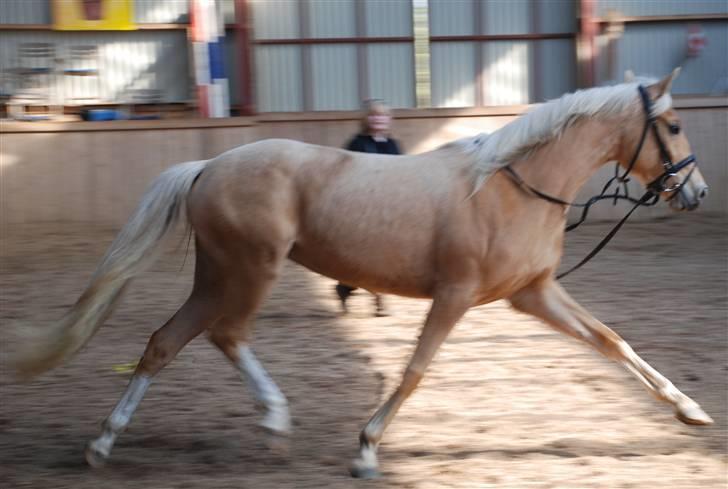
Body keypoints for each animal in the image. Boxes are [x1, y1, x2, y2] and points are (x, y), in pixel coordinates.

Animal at [15, 69, 712, 476]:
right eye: (675, 125)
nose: (697, 192)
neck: (512, 186)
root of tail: (208, 166)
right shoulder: (455, 295)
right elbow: (414, 370)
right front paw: (368, 449)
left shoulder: (532, 295)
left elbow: (612, 342)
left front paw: (689, 411)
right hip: (250, 269)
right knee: (224, 335)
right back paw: (270, 425)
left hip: (218, 274)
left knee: (169, 341)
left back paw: (107, 444)